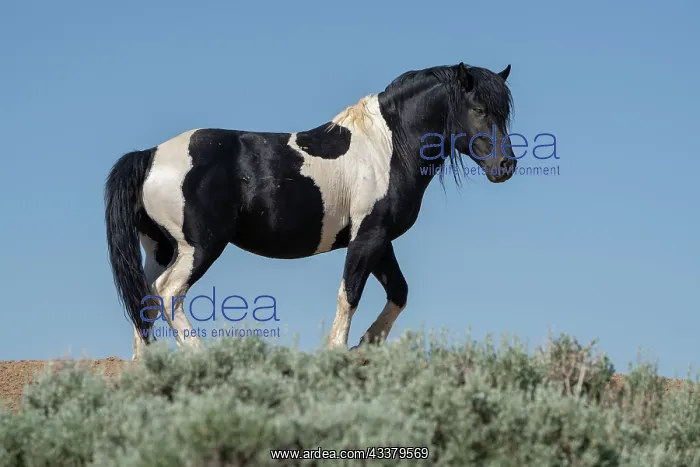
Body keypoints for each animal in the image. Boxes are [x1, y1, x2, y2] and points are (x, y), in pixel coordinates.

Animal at [104, 62, 517, 360]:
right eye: (478, 109)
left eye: (504, 114)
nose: (505, 166)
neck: (387, 147)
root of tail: (150, 155)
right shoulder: (368, 237)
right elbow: (350, 292)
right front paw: (339, 349)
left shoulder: (380, 239)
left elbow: (399, 292)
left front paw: (365, 346)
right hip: (200, 246)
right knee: (168, 292)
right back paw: (199, 353)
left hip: (160, 248)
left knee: (144, 298)